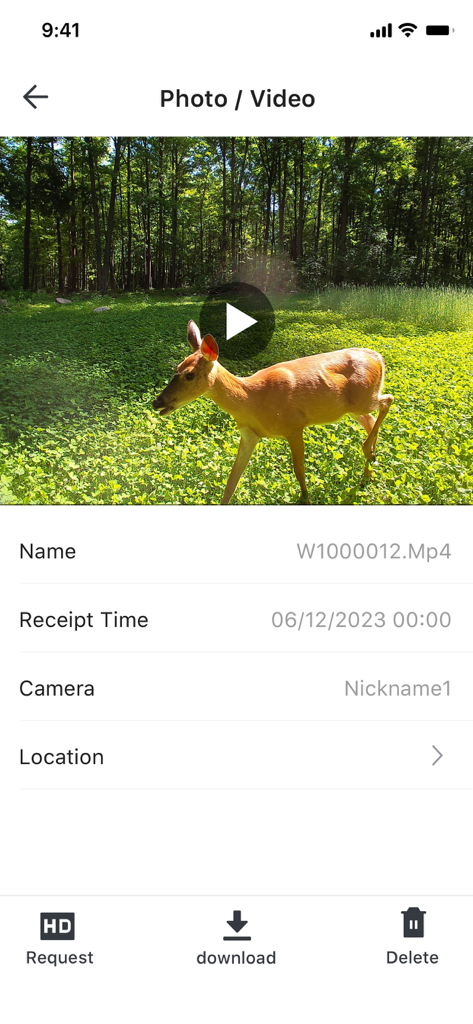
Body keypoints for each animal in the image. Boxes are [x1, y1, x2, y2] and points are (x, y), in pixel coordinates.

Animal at [153, 320, 393, 504]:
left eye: (190, 375)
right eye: (176, 368)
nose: (157, 402)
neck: (253, 401)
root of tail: (379, 357)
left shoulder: (294, 426)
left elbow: (298, 469)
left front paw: (305, 498)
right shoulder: (249, 435)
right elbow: (231, 482)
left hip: (364, 398)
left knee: (388, 400)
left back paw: (368, 452)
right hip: (353, 409)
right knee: (371, 420)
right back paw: (368, 472)